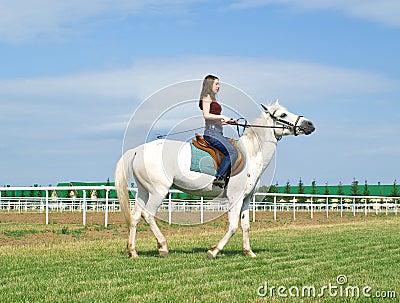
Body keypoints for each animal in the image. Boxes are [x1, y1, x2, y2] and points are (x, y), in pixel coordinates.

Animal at [114, 102, 314, 258]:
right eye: (282, 114)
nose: (309, 124)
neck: (251, 154)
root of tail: (138, 150)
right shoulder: (235, 198)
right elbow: (233, 226)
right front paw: (214, 251)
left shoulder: (246, 199)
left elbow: (246, 225)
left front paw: (248, 252)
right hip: (158, 191)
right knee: (148, 215)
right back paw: (162, 247)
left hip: (144, 191)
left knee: (135, 217)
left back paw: (133, 251)